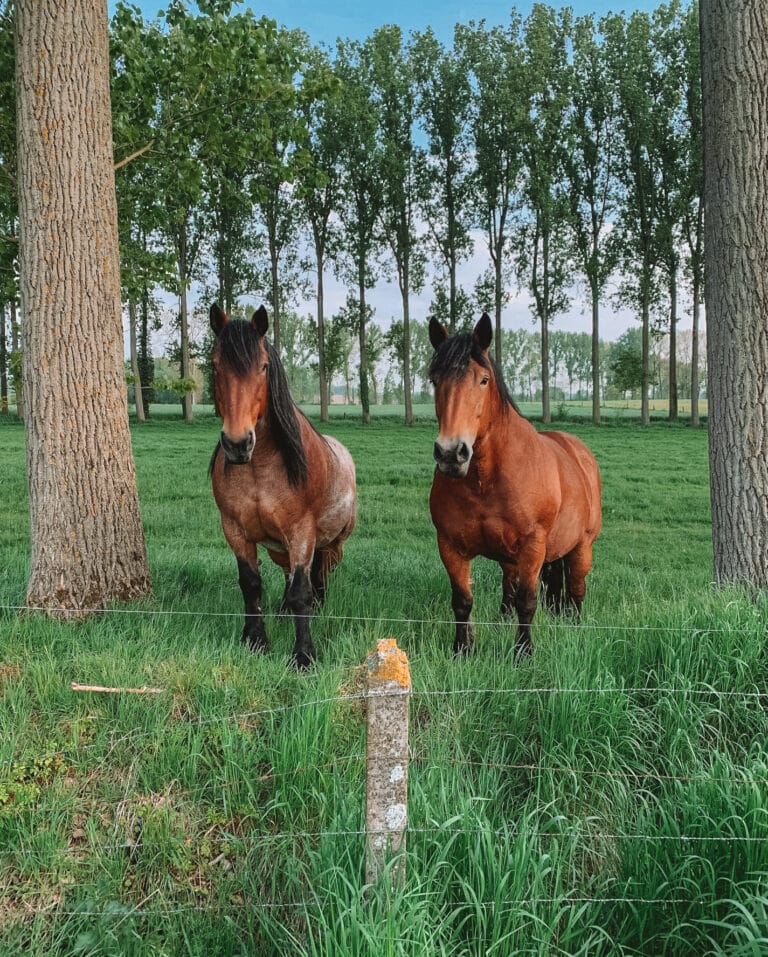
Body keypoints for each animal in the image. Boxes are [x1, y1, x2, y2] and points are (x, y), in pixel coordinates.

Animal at [208, 302, 356, 668]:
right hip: (280, 548)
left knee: (320, 578)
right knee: (290, 575)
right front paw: (255, 640)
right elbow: (251, 584)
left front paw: (303, 655)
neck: (259, 468)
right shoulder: (234, 530)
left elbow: (303, 591)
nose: (237, 443)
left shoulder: (302, 531)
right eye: (215, 364)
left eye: (262, 367)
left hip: (331, 545)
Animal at [428, 314, 604, 656]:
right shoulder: (450, 546)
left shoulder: (532, 547)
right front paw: (462, 650)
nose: (451, 453)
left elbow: (527, 602)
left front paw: (523, 653)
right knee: (508, 594)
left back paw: (575, 630)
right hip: (511, 558)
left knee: (576, 592)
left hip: (582, 548)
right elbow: (462, 601)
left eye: (483, 380)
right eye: (434, 380)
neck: (486, 481)